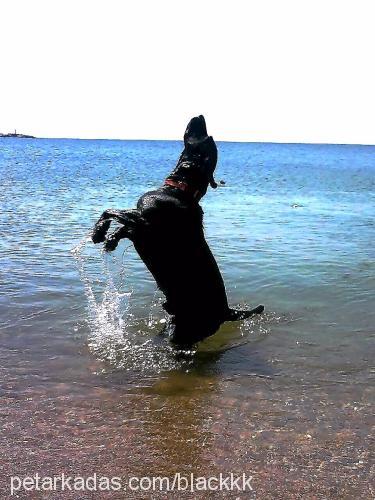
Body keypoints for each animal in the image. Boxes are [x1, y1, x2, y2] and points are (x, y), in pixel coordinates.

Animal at [92, 115, 264, 346]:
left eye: (206, 140)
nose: (199, 116)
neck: (181, 190)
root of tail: (228, 312)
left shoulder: (144, 221)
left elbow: (111, 211)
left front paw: (98, 233)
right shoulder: (138, 230)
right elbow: (123, 228)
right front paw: (110, 239)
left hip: (185, 332)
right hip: (174, 323)